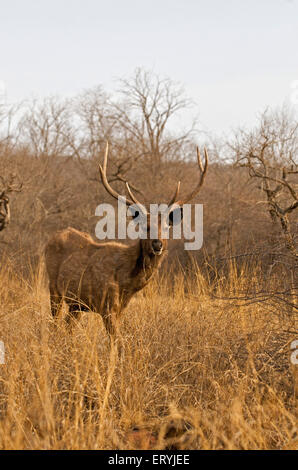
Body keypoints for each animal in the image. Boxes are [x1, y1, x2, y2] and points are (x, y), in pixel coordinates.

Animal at [44, 145, 207, 336]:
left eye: (167, 227)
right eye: (145, 226)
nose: (157, 244)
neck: (127, 282)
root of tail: (52, 238)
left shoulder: (120, 307)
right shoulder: (107, 305)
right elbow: (117, 341)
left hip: (76, 304)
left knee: (67, 326)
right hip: (54, 288)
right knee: (54, 324)